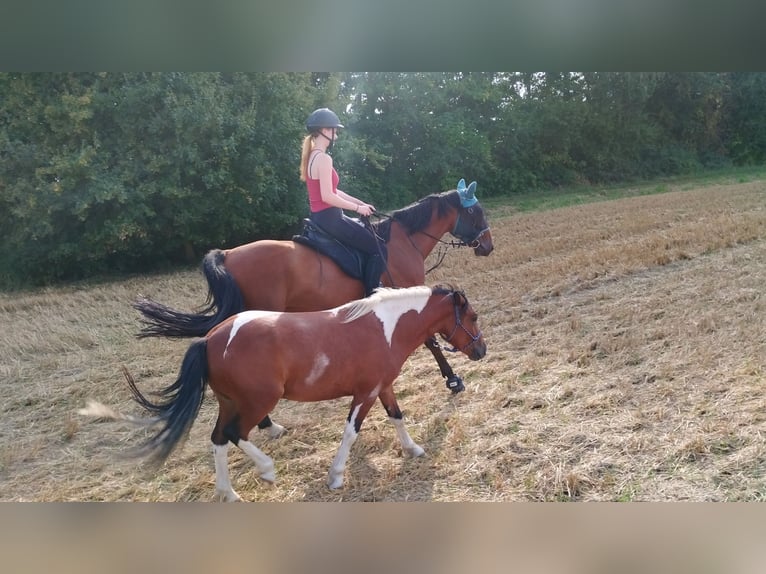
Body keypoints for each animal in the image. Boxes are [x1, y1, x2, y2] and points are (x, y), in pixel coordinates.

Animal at [80, 284, 486, 501]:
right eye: (473, 317)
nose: (481, 350)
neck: (384, 327)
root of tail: (211, 339)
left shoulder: (381, 387)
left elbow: (397, 416)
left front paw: (413, 449)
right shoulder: (365, 393)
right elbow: (351, 432)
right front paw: (335, 476)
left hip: (229, 402)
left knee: (219, 438)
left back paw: (229, 493)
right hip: (257, 402)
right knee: (236, 434)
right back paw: (266, 469)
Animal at [133, 180, 494, 393]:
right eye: (476, 212)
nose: (488, 246)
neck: (404, 240)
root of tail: (228, 254)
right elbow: (431, 340)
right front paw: (452, 379)